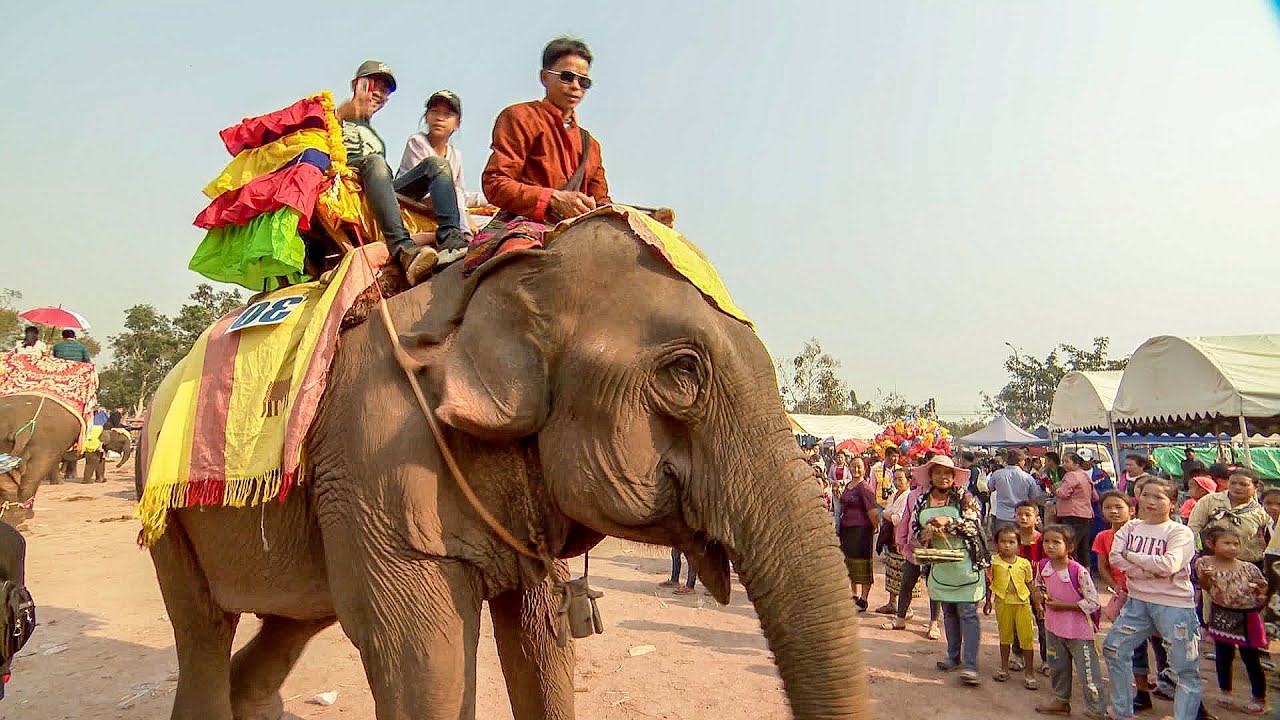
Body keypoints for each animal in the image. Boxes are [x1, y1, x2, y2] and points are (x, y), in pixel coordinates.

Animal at [145, 214, 867, 720]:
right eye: (682, 373)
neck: (496, 275)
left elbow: (542, 646)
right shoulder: (375, 451)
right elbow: (423, 662)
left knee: (289, 626)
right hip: (168, 514)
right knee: (204, 629)